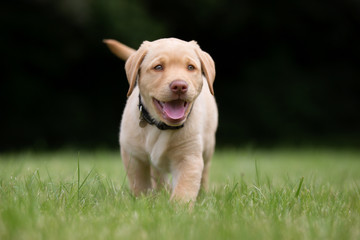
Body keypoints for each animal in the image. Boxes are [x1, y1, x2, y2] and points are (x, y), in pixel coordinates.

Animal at [102, 37, 218, 202]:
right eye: (158, 67)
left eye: (190, 67)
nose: (179, 86)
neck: (161, 126)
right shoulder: (133, 156)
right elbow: (140, 185)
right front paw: (143, 202)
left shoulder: (189, 157)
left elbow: (184, 189)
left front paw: (177, 207)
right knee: (158, 174)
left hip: (208, 147)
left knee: (204, 173)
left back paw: (202, 193)